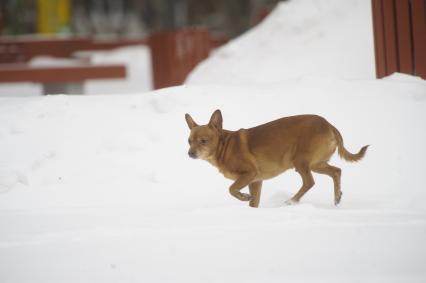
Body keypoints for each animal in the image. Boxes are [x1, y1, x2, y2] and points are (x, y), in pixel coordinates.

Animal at [185, 110, 368, 209]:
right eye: (189, 141)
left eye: (203, 141)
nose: (190, 153)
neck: (225, 145)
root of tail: (330, 126)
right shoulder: (256, 181)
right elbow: (254, 202)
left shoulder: (250, 174)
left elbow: (232, 189)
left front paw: (244, 197)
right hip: (316, 164)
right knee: (337, 171)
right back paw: (337, 198)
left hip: (301, 161)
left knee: (309, 182)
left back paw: (291, 201)